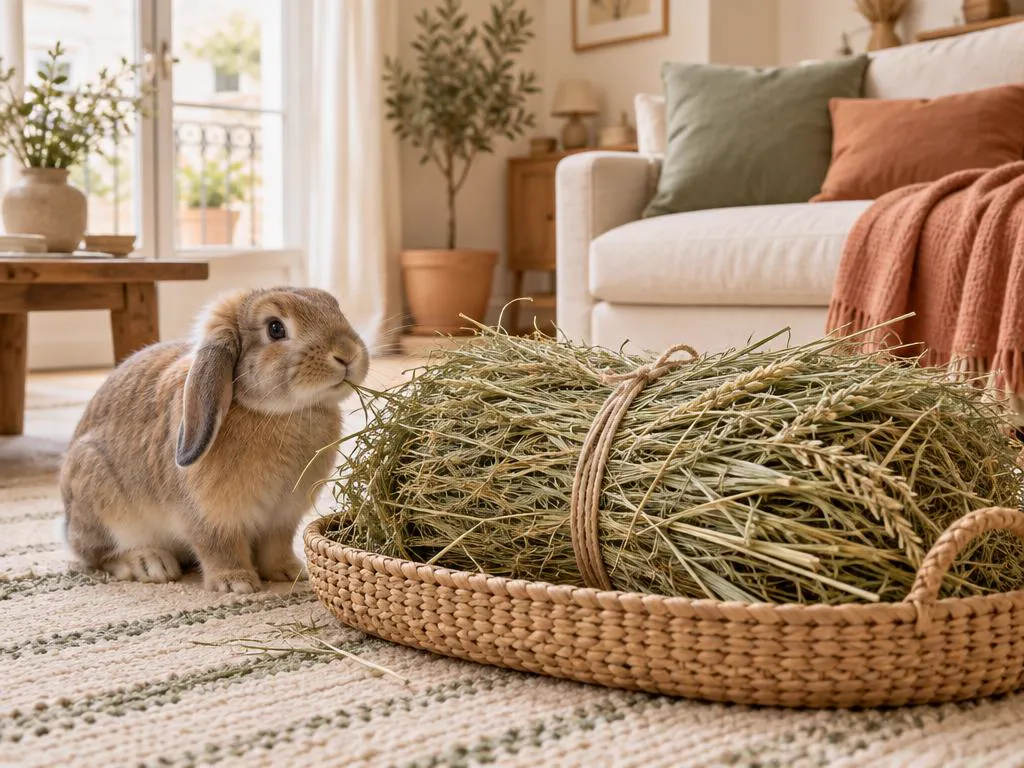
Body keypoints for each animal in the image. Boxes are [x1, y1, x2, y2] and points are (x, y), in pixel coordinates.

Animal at [59, 287, 369, 593]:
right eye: (275, 328)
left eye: (335, 308)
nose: (347, 354)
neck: (280, 413)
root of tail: (67, 526)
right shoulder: (209, 517)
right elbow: (219, 547)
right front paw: (236, 583)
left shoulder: (282, 518)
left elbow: (275, 547)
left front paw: (289, 572)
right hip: (103, 501)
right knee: (100, 555)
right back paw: (150, 564)